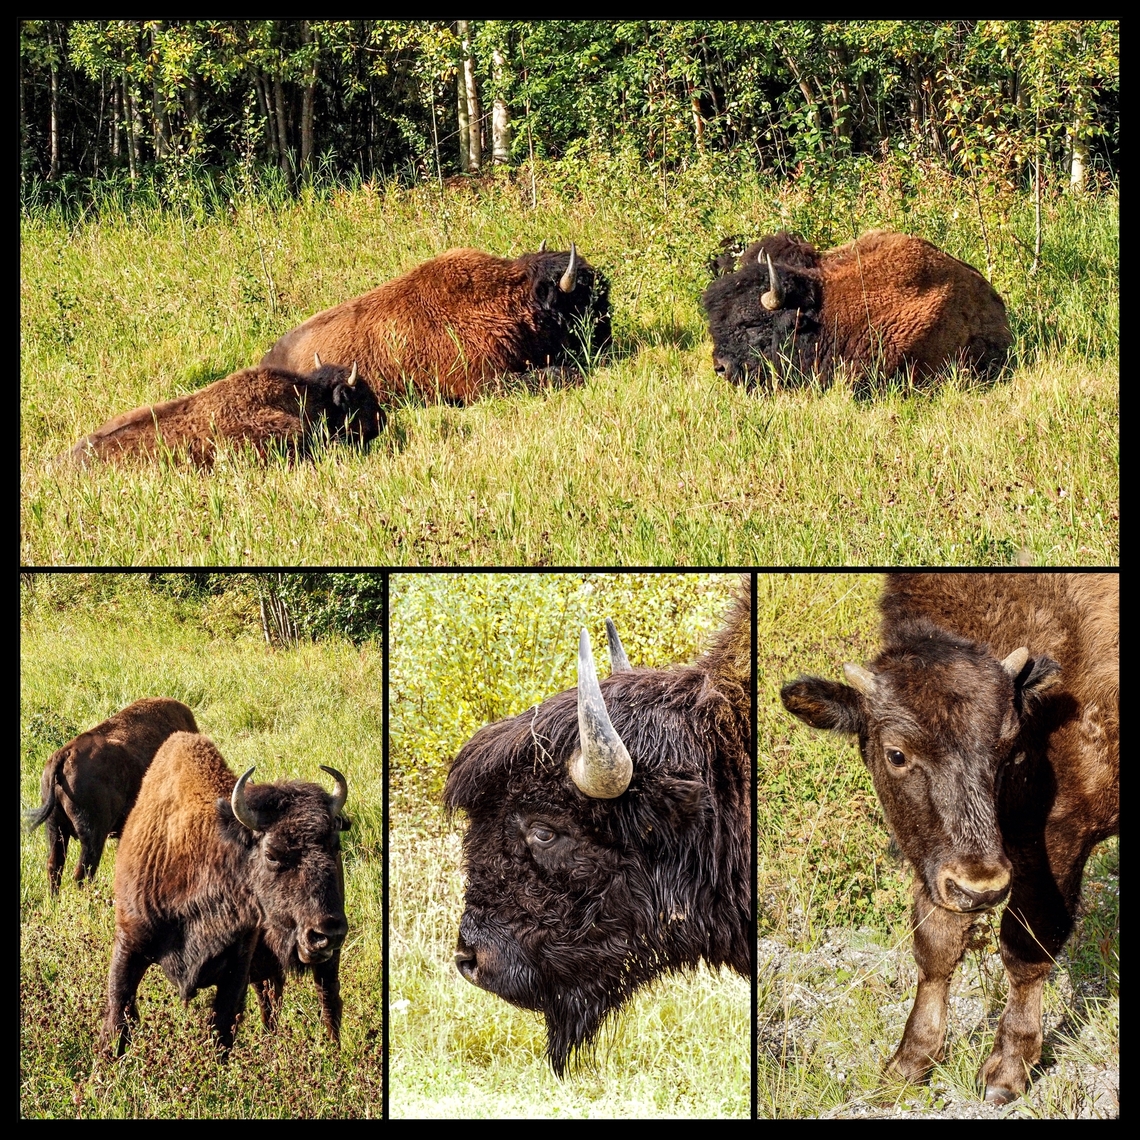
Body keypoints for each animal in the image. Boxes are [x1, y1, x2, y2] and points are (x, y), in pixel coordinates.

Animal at [100, 732, 350, 1056]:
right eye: (272, 854)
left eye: (335, 845)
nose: (327, 932)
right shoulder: (129, 943)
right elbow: (118, 1015)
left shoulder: (237, 964)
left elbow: (223, 1026)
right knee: (272, 996)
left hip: (327, 959)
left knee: (327, 998)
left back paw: (334, 1052)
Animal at [780, 572, 1118, 1104]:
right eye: (897, 753)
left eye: (1009, 749)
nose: (979, 890)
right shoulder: (937, 864)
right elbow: (935, 947)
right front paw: (907, 1064)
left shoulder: (1060, 842)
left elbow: (1026, 946)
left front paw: (1005, 1073)